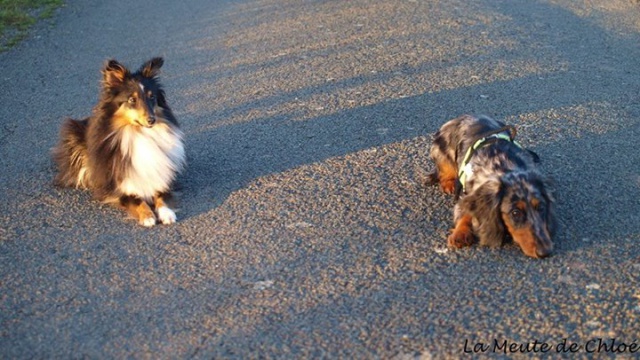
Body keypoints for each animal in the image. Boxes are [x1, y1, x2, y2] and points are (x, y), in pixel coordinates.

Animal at [52, 57, 185, 226]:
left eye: (152, 97)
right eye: (132, 99)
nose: (151, 120)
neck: (139, 132)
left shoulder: (161, 175)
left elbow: (161, 194)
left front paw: (167, 213)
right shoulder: (117, 186)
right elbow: (135, 199)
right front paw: (148, 216)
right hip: (74, 134)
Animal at [430, 114, 556, 258]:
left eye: (541, 207)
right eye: (515, 212)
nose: (545, 252)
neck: (503, 165)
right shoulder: (465, 195)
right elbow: (463, 212)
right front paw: (460, 233)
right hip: (442, 153)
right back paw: (449, 183)